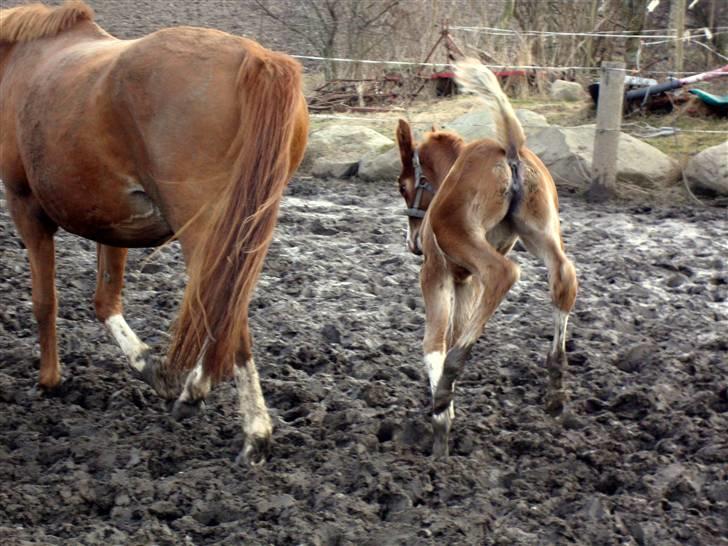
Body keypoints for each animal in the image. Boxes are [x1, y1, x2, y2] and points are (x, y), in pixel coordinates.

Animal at [0, 1, 308, 464]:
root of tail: (256, 58)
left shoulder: (26, 210)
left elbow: (44, 302)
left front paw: (49, 381)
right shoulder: (113, 225)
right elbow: (105, 302)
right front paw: (153, 367)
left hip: (207, 233)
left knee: (222, 310)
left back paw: (249, 427)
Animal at [396, 58, 576, 454]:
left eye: (402, 185)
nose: (413, 241)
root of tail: (510, 148)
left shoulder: (436, 273)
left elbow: (435, 342)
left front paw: (442, 417)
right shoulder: (466, 281)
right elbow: (457, 329)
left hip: (465, 241)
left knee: (504, 273)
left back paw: (448, 381)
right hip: (541, 233)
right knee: (564, 277)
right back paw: (556, 383)